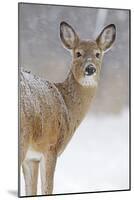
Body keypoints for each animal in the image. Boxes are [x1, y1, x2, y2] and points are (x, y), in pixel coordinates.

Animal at [19, 21, 115, 196]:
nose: (90, 68)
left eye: (98, 54)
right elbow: (47, 189)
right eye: (78, 53)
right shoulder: (51, 147)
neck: (67, 106)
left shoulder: (32, 158)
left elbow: (31, 190)